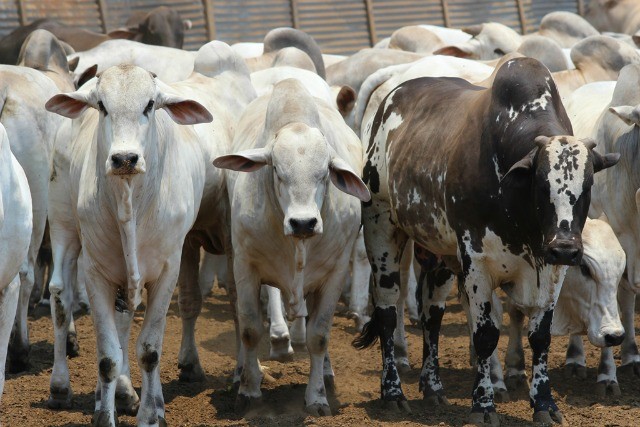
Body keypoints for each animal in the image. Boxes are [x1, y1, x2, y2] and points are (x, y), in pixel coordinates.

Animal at [214, 78, 370, 416]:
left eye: (324, 174)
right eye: (277, 171)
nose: (303, 223)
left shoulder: (335, 273)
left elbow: (319, 336)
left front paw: (318, 397)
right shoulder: (246, 267)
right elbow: (249, 330)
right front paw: (248, 391)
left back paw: (326, 373)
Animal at [356, 57, 620, 427]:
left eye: (588, 186)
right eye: (541, 185)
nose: (566, 248)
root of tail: (392, 94)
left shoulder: (550, 271)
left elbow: (540, 338)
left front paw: (544, 404)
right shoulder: (477, 264)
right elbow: (485, 336)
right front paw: (483, 405)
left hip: (440, 255)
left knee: (431, 314)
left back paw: (433, 387)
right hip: (381, 230)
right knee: (387, 312)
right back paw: (392, 393)